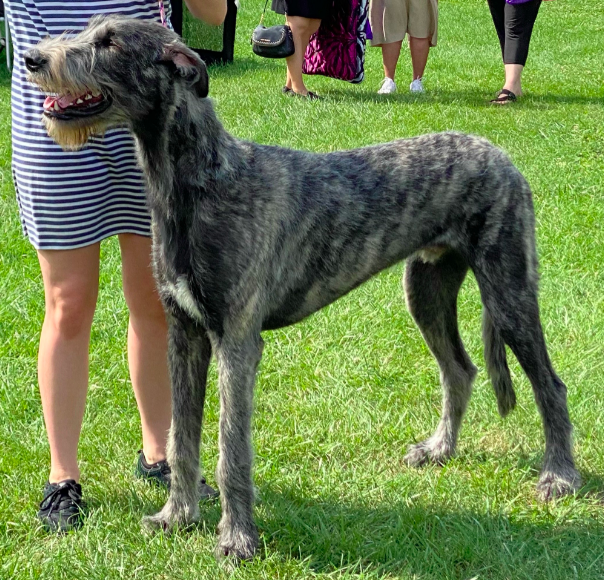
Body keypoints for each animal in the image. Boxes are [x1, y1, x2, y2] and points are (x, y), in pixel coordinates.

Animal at [27, 17, 580, 560]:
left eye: (110, 42)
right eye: (89, 31)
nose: (33, 58)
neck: (202, 182)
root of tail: (502, 157)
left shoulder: (237, 342)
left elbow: (231, 449)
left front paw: (237, 539)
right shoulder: (184, 334)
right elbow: (181, 436)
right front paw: (177, 516)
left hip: (508, 292)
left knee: (549, 384)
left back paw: (559, 476)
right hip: (426, 290)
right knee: (459, 370)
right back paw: (439, 449)